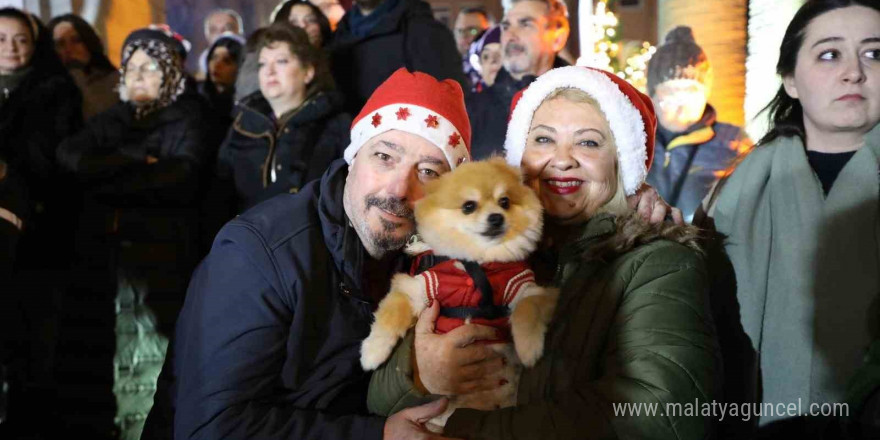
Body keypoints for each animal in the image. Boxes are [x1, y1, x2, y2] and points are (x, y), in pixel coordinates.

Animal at [358, 157, 556, 426]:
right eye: (468, 206)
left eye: (504, 202)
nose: (496, 217)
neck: (477, 260)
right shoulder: (422, 286)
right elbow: (390, 318)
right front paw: (371, 353)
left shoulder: (521, 285)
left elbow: (528, 309)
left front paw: (529, 350)